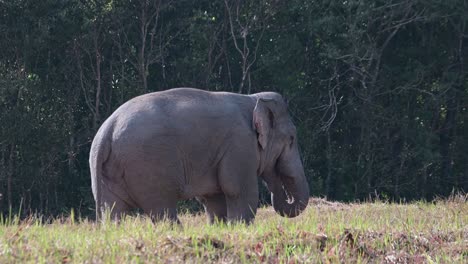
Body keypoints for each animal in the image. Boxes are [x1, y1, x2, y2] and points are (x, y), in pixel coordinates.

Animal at [90, 87, 310, 223]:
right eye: (291, 139)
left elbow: (214, 199)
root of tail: (107, 130)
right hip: (147, 167)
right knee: (162, 210)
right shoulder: (239, 145)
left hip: (109, 174)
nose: (277, 186)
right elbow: (239, 191)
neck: (252, 98)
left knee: (113, 212)